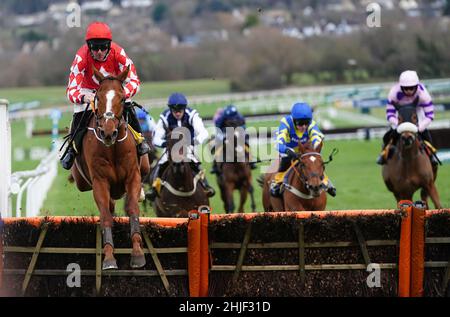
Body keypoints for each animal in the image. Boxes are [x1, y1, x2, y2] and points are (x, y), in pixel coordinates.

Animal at [70, 66, 150, 270]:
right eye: (98, 97)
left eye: (121, 98)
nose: (108, 132)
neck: (112, 147)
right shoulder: (100, 182)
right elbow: (105, 215)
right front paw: (108, 257)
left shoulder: (132, 176)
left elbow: (132, 209)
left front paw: (137, 253)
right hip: (82, 181)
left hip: (144, 165)